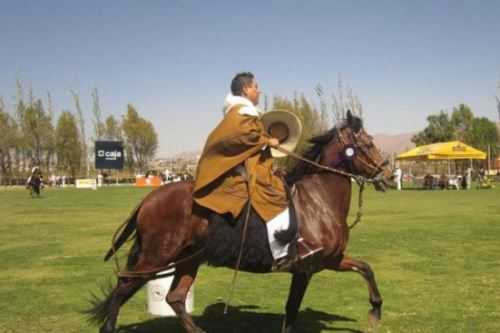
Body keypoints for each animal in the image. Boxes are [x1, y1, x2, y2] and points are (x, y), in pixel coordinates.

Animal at [89, 111, 394, 332]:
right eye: (368, 144)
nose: (388, 175)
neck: (317, 201)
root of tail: (148, 199)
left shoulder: (329, 260)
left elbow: (365, 268)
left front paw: (376, 309)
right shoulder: (305, 268)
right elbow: (291, 311)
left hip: (188, 257)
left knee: (174, 298)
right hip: (156, 257)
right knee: (123, 287)